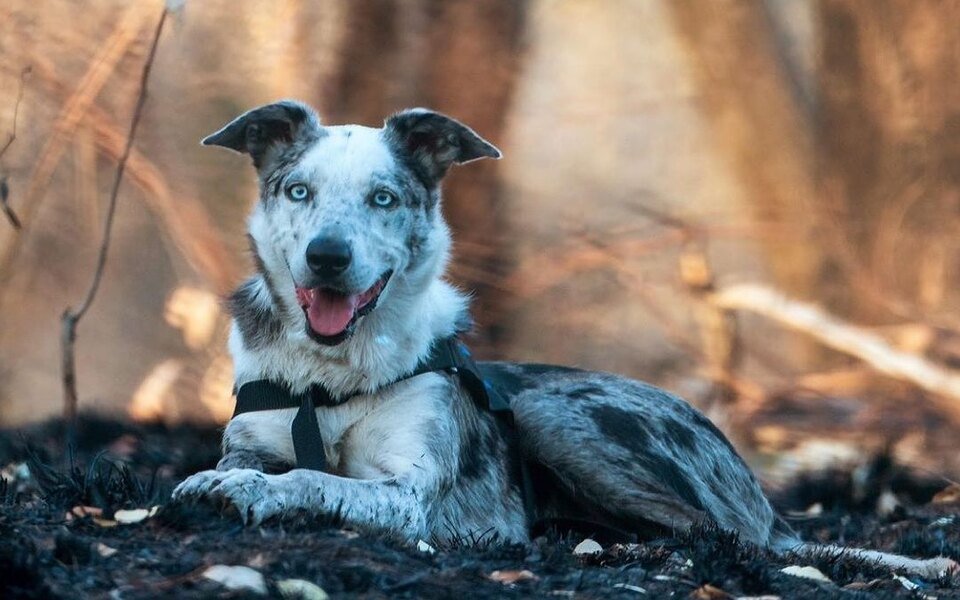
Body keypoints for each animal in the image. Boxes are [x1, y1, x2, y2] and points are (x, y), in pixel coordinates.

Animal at [172, 101, 952, 580]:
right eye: (297, 190)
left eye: (383, 198)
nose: (328, 258)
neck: (331, 377)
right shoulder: (258, 434)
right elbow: (258, 463)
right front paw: (228, 479)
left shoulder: (409, 495)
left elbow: (316, 478)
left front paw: (250, 491)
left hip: (556, 417)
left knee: (725, 535)